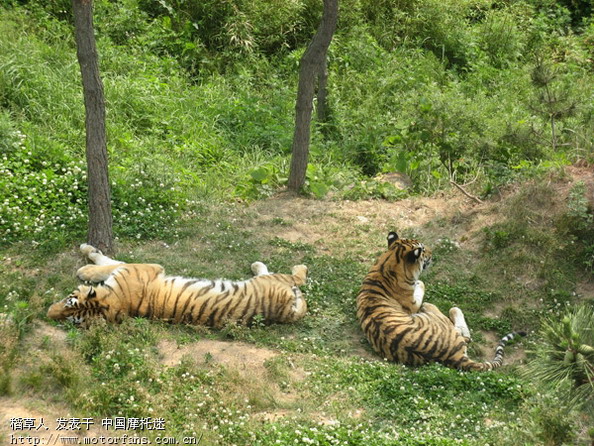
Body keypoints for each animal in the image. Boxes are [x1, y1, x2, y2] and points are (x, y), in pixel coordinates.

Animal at [46, 244, 308, 328]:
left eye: (69, 302)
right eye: (70, 317)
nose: (48, 314)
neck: (116, 302)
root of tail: (287, 312)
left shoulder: (144, 267)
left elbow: (107, 263)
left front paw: (85, 264)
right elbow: (108, 263)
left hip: (272, 281)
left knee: (299, 277)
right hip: (273, 284)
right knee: (298, 282)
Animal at [354, 232, 520, 372]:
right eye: (423, 250)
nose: (432, 253)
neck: (388, 263)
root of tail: (453, 356)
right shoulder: (413, 304)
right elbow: (421, 286)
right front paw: (420, 282)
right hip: (436, 317)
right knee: (458, 325)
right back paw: (452, 310)